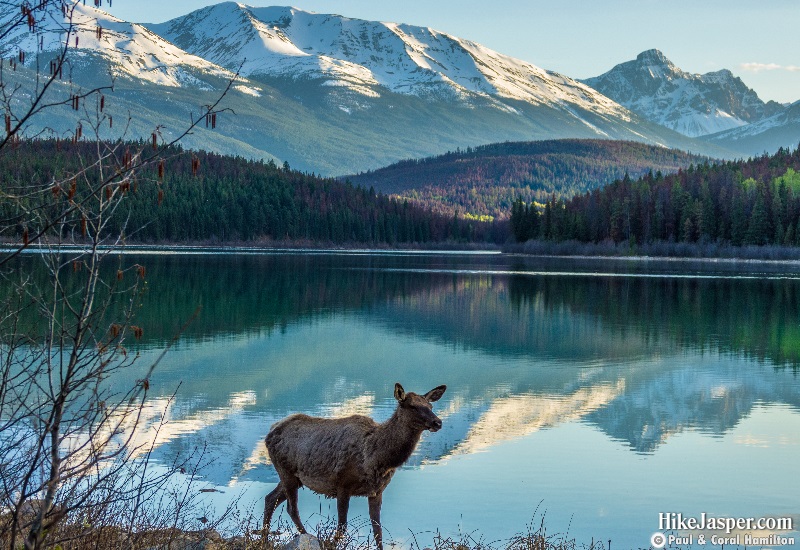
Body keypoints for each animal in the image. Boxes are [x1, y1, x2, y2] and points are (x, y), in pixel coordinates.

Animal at [264, 384, 446, 550]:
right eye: (412, 406)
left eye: (430, 406)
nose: (438, 422)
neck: (376, 458)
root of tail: (270, 432)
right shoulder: (343, 485)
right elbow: (342, 526)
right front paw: (331, 544)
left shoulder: (377, 491)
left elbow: (378, 531)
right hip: (286, 472)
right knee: (292, 508)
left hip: (294, 478)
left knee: (271, 498)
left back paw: (265, 539)